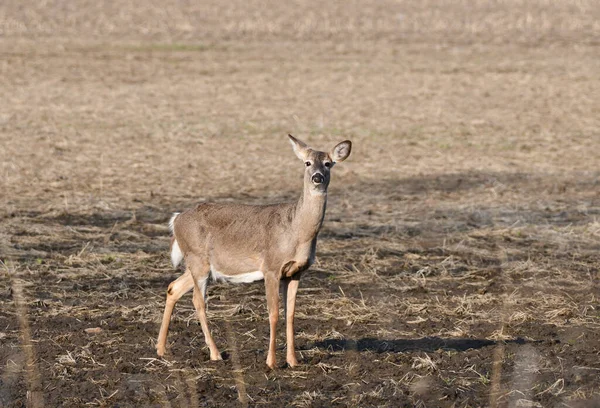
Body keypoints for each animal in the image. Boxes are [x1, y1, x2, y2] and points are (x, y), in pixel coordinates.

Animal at [155, 135, 352, 368]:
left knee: (173, 287)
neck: (297, 230)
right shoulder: (271, 267)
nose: (317, 177)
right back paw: (215, 353)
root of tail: (176, 219)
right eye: (307, 162)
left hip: (200, 264)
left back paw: (161, 349)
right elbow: (274, 313)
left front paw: (293, 361)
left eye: (328, 163)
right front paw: (271, 362)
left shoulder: (296, 272)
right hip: (197, 259)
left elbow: (291, 314)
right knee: (197, 300)